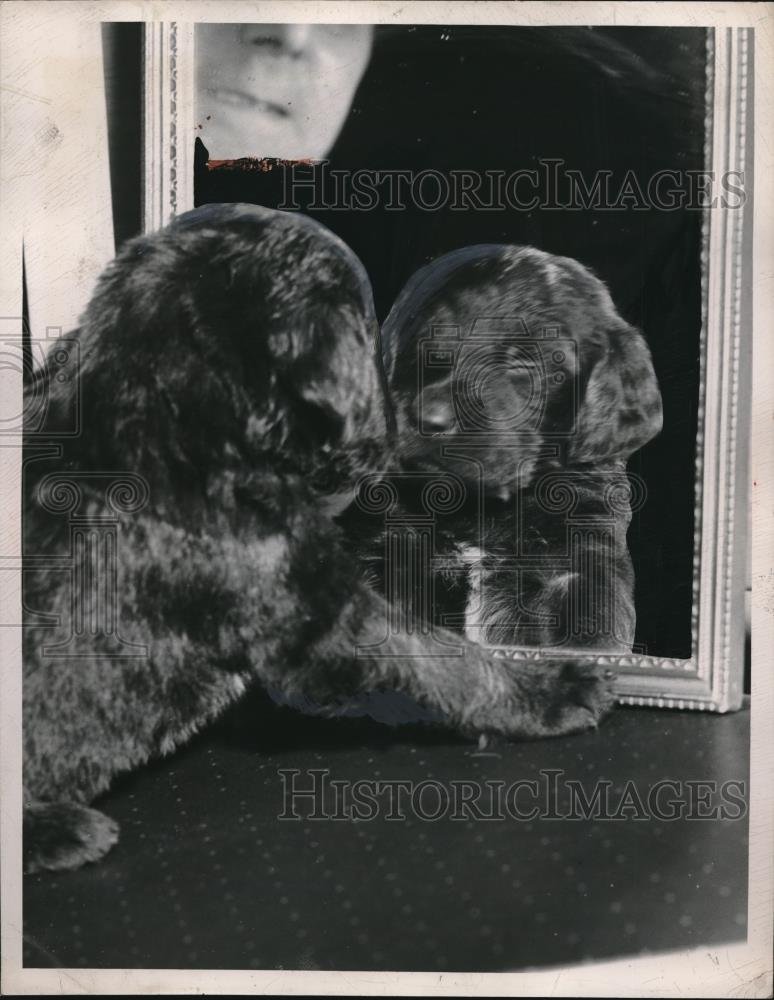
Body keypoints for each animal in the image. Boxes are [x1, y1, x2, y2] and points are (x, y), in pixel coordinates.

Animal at [24, 207, 616, 872]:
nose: (414, 421)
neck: (161, 401)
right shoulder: (323, 612)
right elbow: (443, 656)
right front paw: (555, 691)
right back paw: (61, 830)